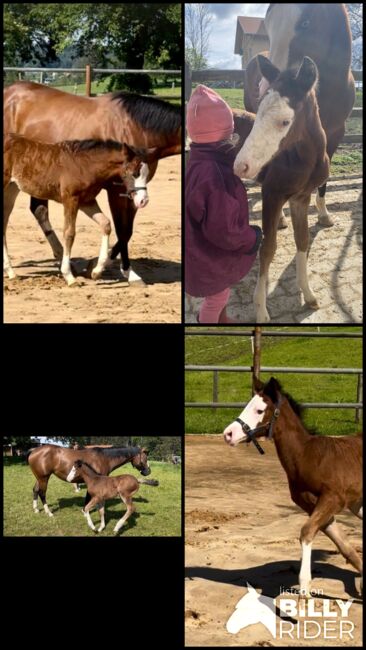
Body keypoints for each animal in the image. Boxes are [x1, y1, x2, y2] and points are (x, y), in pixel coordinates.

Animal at [4, 134, 156, 284]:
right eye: (134, 173)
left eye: (146, 173)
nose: (143, 200)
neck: (85, 165)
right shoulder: (70, 200)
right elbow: (69, 233)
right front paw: (69, 276)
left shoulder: (87, 201)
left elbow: (106, 224)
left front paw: (96, 271)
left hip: (12, 189)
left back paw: (11, 272)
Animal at [224, 378, 362, 596]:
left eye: (259, 410)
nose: (228, 434)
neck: (307, 456)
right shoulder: (311, 505)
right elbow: (342, 544)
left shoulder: (333, 499)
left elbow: (306, 532)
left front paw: (305, 592)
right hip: (358, 505)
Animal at [233, 56, 330, 322]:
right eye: (257, 113)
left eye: (285, 122)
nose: (240, 166)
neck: (304, 159)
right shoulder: (272, 195)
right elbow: (268, 248)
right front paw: (261, 310)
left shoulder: (301, 198)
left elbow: (302, 240)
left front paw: (308, 294)